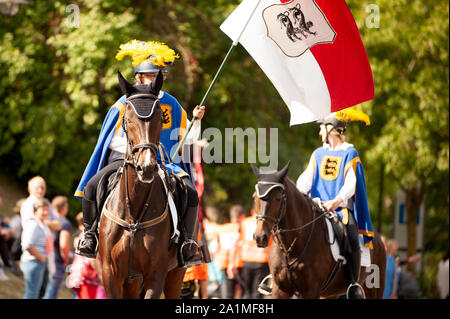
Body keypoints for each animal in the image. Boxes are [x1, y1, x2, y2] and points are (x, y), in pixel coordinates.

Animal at [251, 162, 384, 300]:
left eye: (278, 198)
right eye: (254, 197)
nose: (260, 237)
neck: (291, 248)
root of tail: (378, 238)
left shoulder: (311, 291)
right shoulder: (280, 290)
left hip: (374, 290)